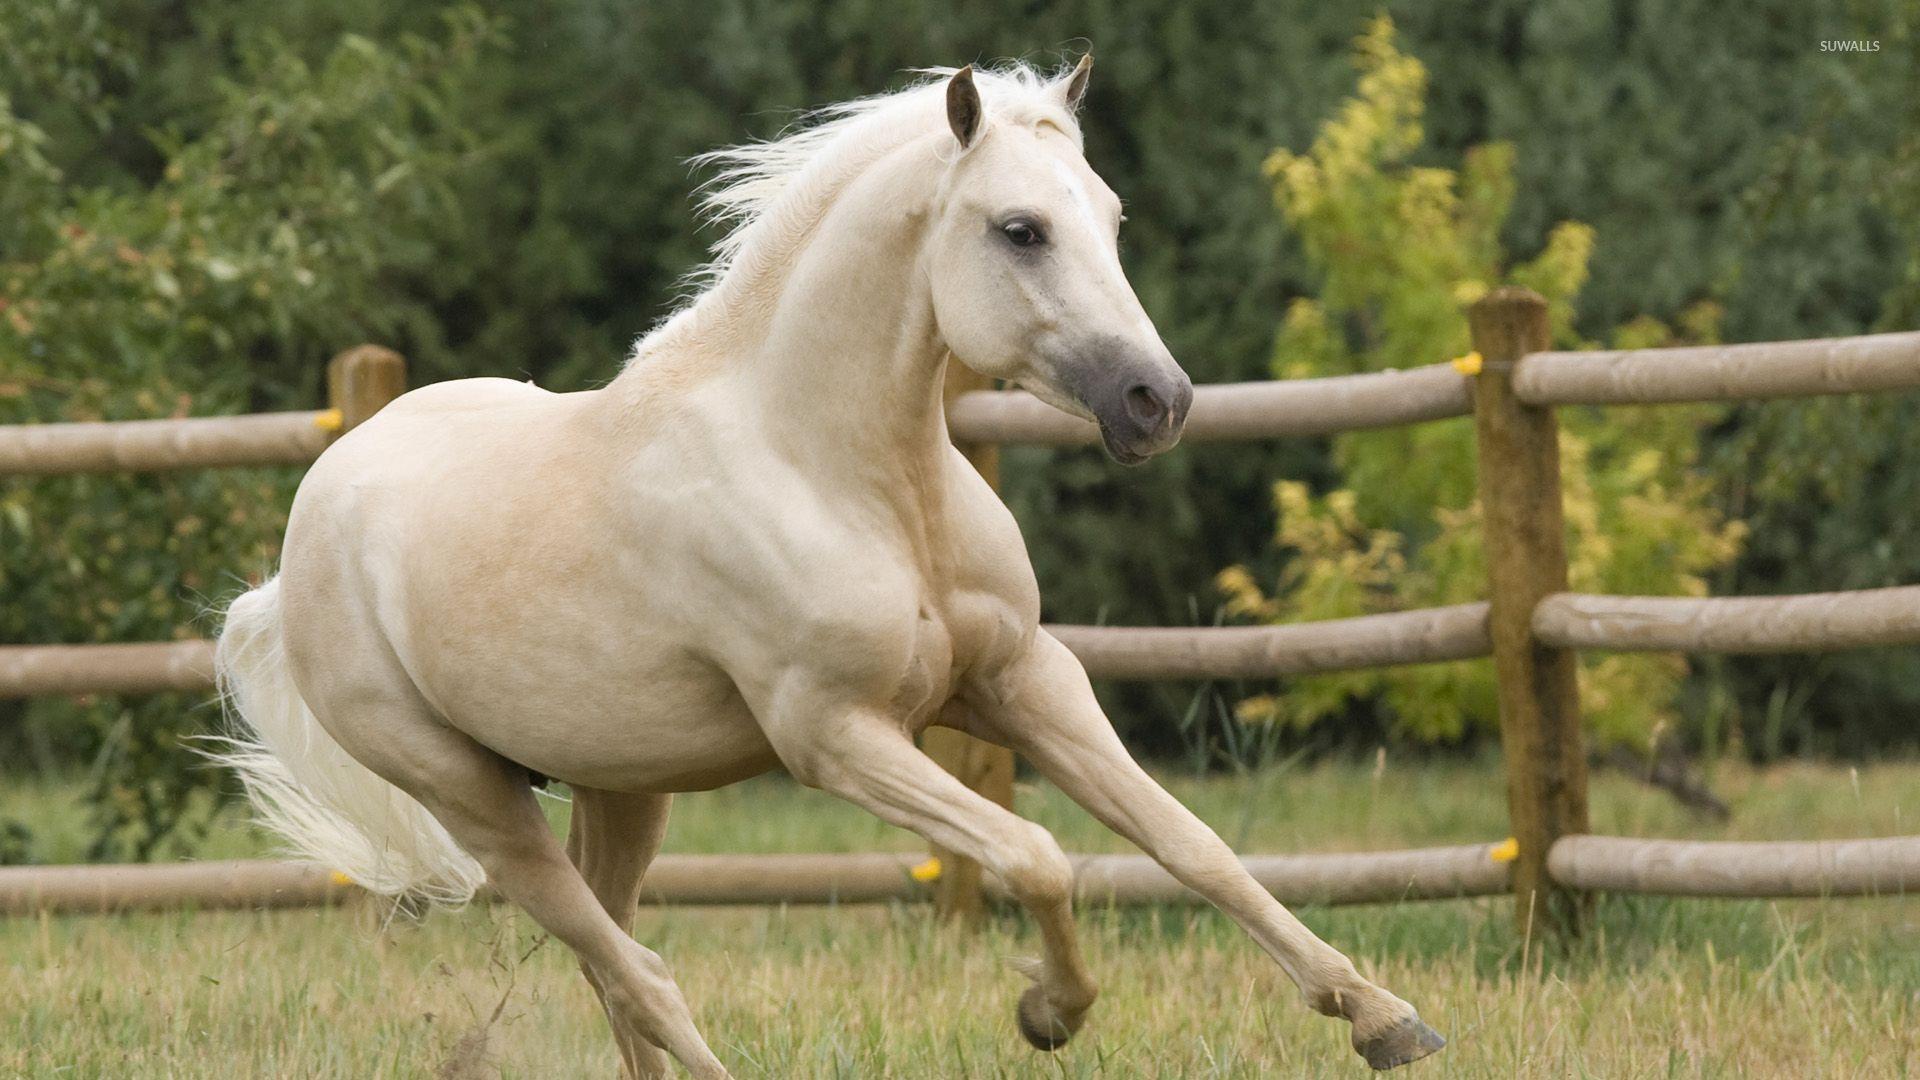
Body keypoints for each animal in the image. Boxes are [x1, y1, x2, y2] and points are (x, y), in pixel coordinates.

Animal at [214, 58, 1445, 1076]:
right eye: (1020, 230)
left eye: (1109, 217)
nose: (1158, 402)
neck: (846, 478)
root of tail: (302, 542)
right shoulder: (836, 735)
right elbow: (1037, 854)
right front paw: (1049, 1013)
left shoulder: (1025, 681)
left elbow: (1196, 846)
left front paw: (1383, 1018)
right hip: (470, 797)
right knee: (636, 972)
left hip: (623, 785)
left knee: (612, 963)